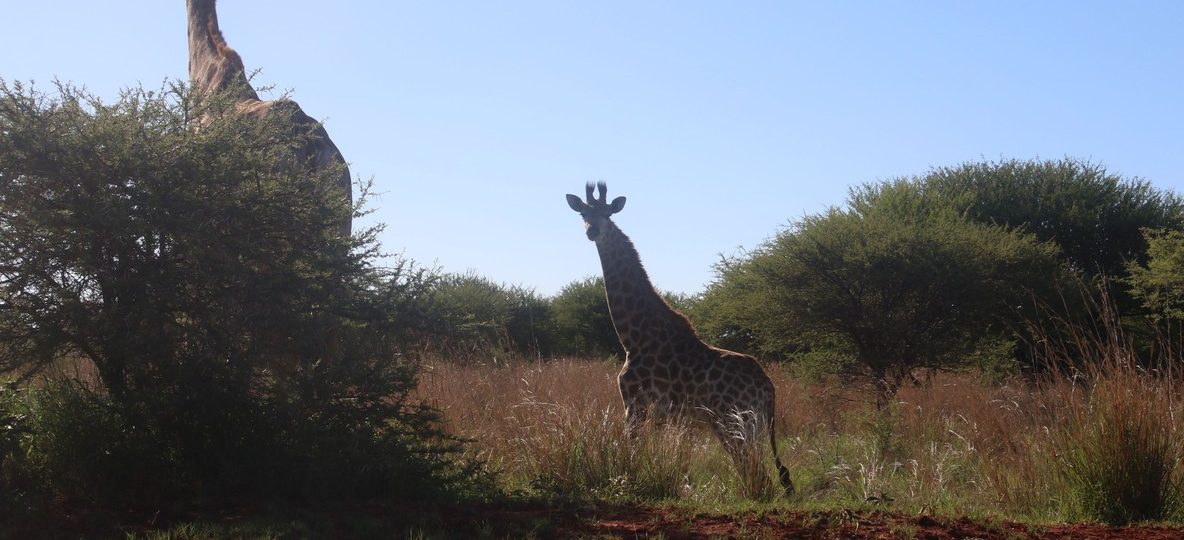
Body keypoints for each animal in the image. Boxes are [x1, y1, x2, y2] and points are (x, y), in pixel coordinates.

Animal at [566, 182, 793, 498]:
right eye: (583, 213)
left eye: (608, 213)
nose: (593, 231)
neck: (633, 337)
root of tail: (769, 388)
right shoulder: (664, 415)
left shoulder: (634, 404)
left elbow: (631, 453)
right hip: (747, 426)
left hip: (733, 423)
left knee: (756, 473)